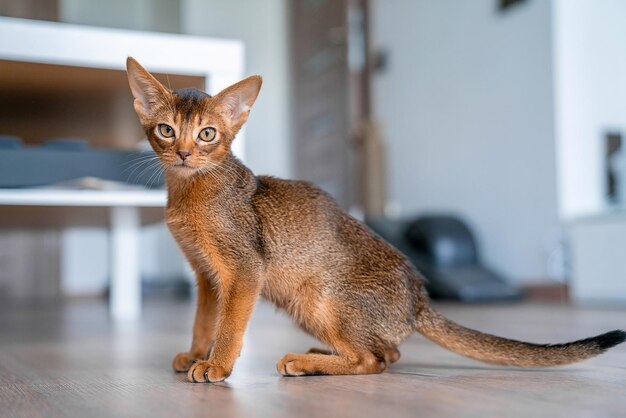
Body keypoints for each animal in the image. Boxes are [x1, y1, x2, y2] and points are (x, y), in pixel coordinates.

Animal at [124, 57, 620, 384]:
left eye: (208, 134)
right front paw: (194, 353)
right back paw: (318, 353)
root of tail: (419, 299)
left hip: (318, 299)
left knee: (375, 360)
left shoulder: (244, 270)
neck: (192, 190)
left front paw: (216, 365)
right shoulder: (207, 276)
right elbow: (204, 320)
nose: (184, 152)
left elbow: (228, 326)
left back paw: (306, 363)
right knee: (388, 352)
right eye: (167, 130)